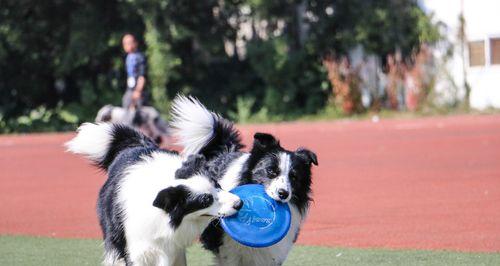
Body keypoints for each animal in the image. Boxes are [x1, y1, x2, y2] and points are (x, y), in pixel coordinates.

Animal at [65, 122, 241, 266]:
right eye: (205, 200)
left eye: (217, 185)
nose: (239, 203)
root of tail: (135, 146)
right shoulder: (137, 250)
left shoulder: (174, 248)